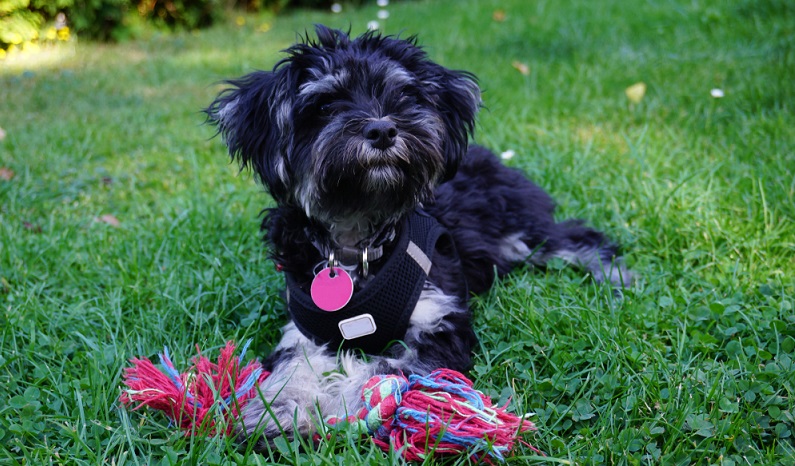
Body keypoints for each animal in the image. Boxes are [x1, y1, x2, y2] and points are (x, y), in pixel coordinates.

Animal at [207, 25, 636, 448]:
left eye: (402, 95)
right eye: (325, 105)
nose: (382, 129)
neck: (358, 241)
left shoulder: (438, 321)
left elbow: (384, 370)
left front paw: (343, 403)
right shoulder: (301, 332)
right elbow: (293, 367)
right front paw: (278, 411)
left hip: (522, 234)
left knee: (581, 238)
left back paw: (615, 279)